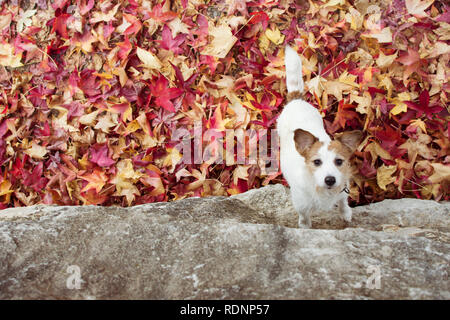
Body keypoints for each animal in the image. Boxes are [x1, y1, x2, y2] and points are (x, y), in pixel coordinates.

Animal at [278, 46, 362, 229]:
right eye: (316, 162)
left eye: (339, 161)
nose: (330, 179)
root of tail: (296, 99)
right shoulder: (301, 204)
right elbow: (304, 217)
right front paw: (305, 226)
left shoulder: (342, 189)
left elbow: (343, 202)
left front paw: (345, 213)